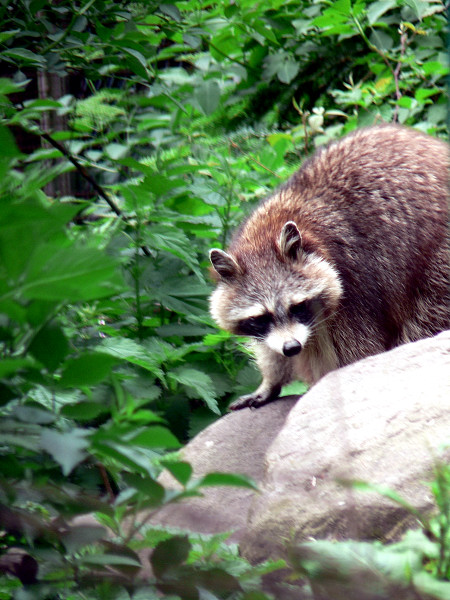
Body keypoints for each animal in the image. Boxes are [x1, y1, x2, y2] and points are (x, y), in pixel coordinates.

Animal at [209, 124, 448, 410]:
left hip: (439, 256)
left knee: (426, 316)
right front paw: (271, 379)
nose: (291, 348)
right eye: (261, 317)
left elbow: (358, 353)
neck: (264, 235)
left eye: (297, 306)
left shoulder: (354, 282)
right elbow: (269, 347)